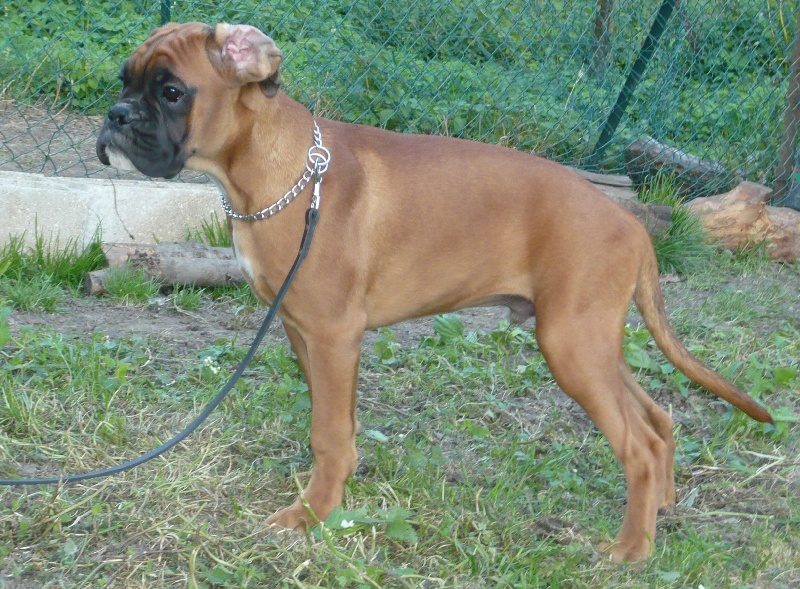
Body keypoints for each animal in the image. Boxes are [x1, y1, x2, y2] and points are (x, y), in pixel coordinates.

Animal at [96, 22, 772, 562]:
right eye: (123, 82)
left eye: (171, 91)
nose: (116, 116)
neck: (278, 172)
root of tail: (629, 221)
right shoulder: (301, 330)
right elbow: (334, 423)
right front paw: (336, 490)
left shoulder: (334, 335)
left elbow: (327, 431)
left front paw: (312, 515)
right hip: (591, 342)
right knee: (658, 419)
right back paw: (660, 510)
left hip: (571, 344)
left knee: (639, 444)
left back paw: (630, 549)